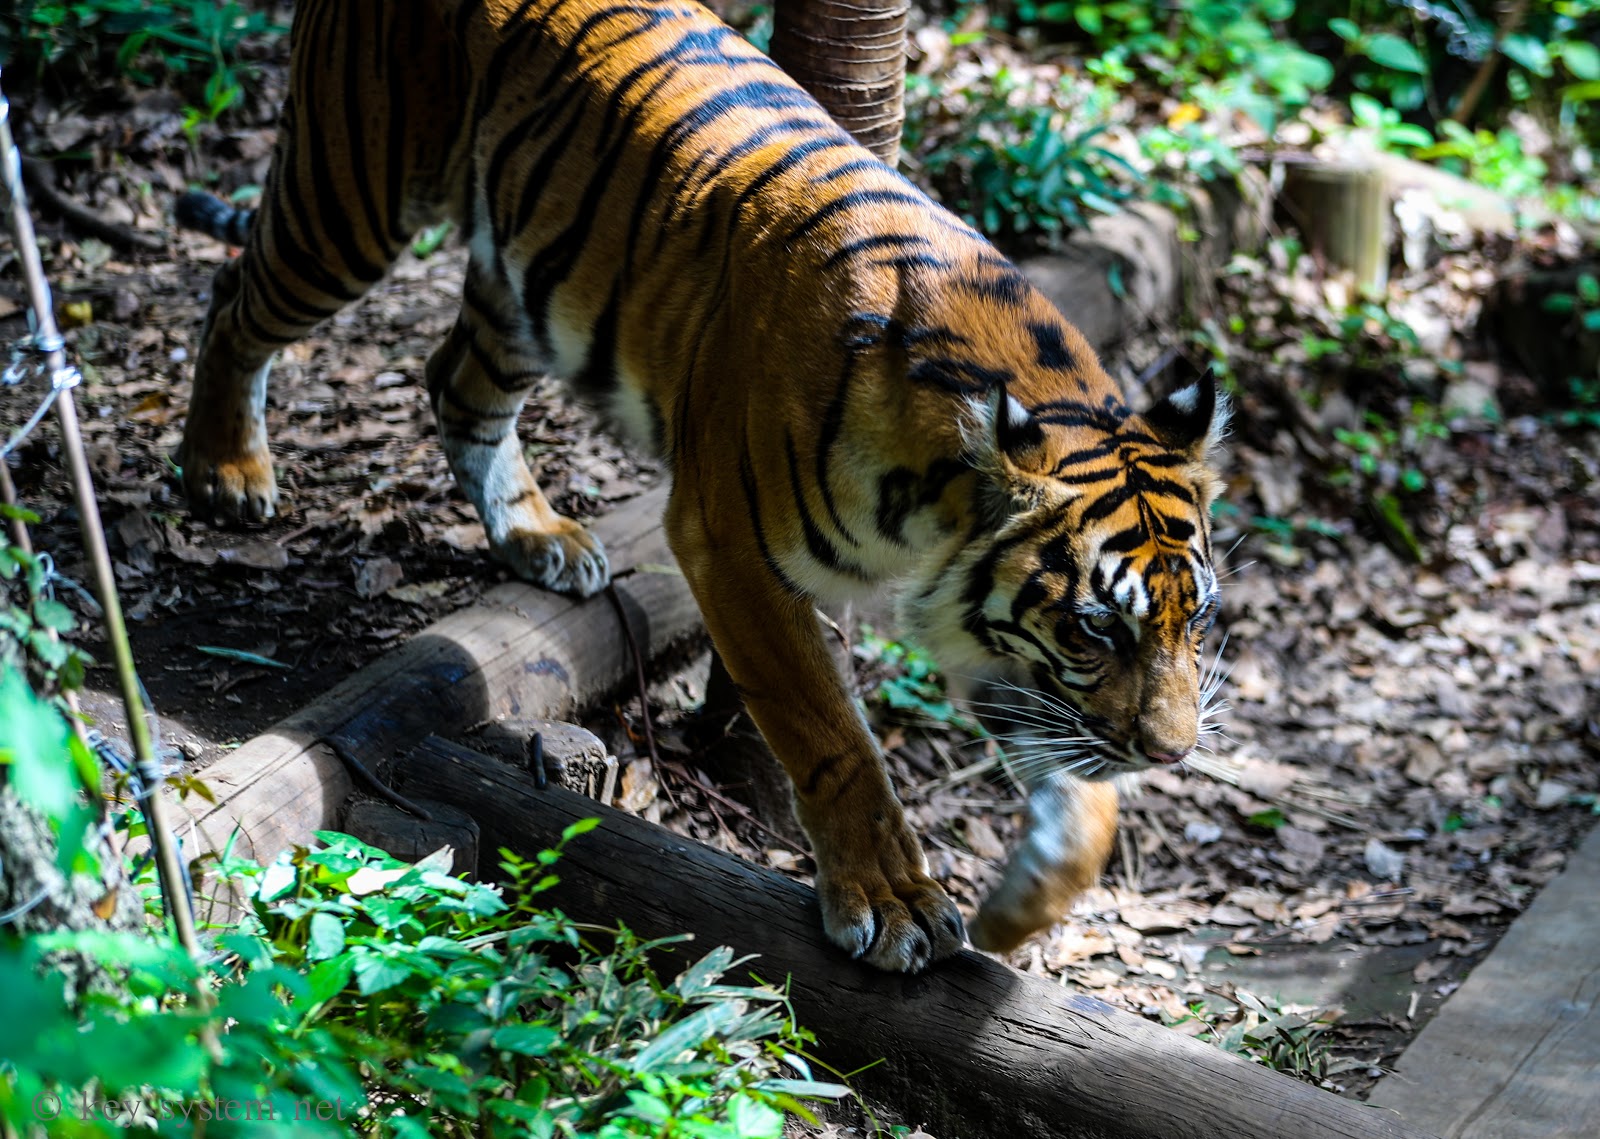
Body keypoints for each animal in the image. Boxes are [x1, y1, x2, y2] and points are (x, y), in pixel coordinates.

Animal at [175, 0, 1222, 972]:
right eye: (1095, 627)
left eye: (1196, 618)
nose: (1173, 752)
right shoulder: (733, 545)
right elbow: (833, 735)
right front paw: (891, 901)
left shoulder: (997, 632)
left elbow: (1079, 784)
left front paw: (1021, 909)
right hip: (350, 200)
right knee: (233, 294)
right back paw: (226, 470)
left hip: (527, 278)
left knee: (454, 379)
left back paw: (539, 536)